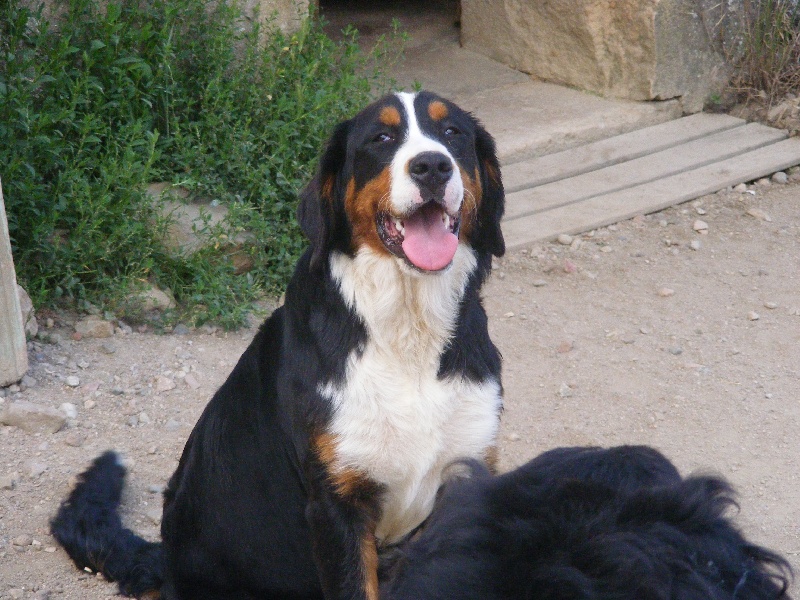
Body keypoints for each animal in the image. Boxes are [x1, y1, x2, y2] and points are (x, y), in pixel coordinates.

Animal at [51, 90, 506, 600]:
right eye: (381, 138)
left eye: (452, 133)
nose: (432, 166)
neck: (408, 331)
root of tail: (165, 560)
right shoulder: (336, 506)